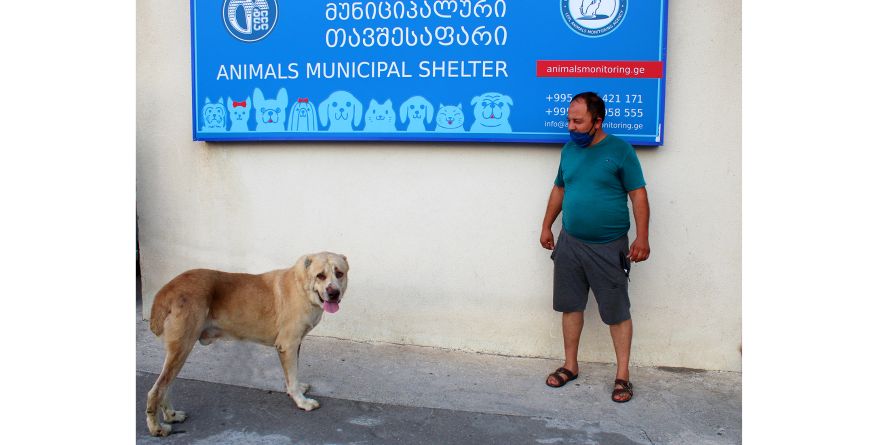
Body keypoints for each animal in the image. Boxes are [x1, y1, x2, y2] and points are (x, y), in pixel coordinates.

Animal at [144, 251, 348, 436]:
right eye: (320, 275)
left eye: (339, 273)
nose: (333, 293)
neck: (302, 287)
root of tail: (168, 289)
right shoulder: (288, 344)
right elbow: (292, 375)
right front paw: (301, 401)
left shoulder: (294, 345)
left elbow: (293, 374)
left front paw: (297, 388)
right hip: (182, 348)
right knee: (156, 390)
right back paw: (157, 428)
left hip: (178, 352)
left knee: (166, 387)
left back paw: (171, 415)